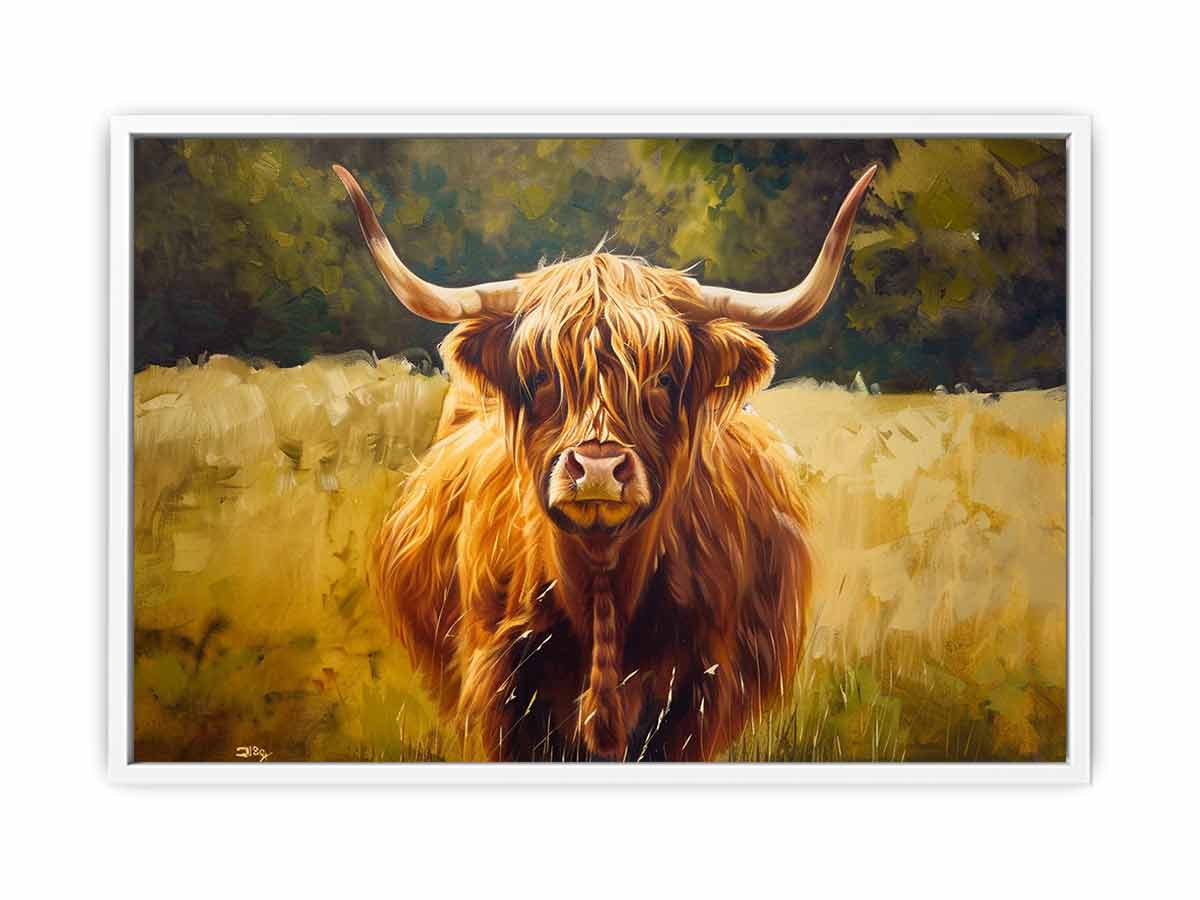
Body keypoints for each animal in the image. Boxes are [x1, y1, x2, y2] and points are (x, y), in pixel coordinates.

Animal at [333, 162, 876, 761]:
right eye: (541, 374)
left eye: (664, 377)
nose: (597, 469)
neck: (601, 592)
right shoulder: (499, 698)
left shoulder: (699, 702)